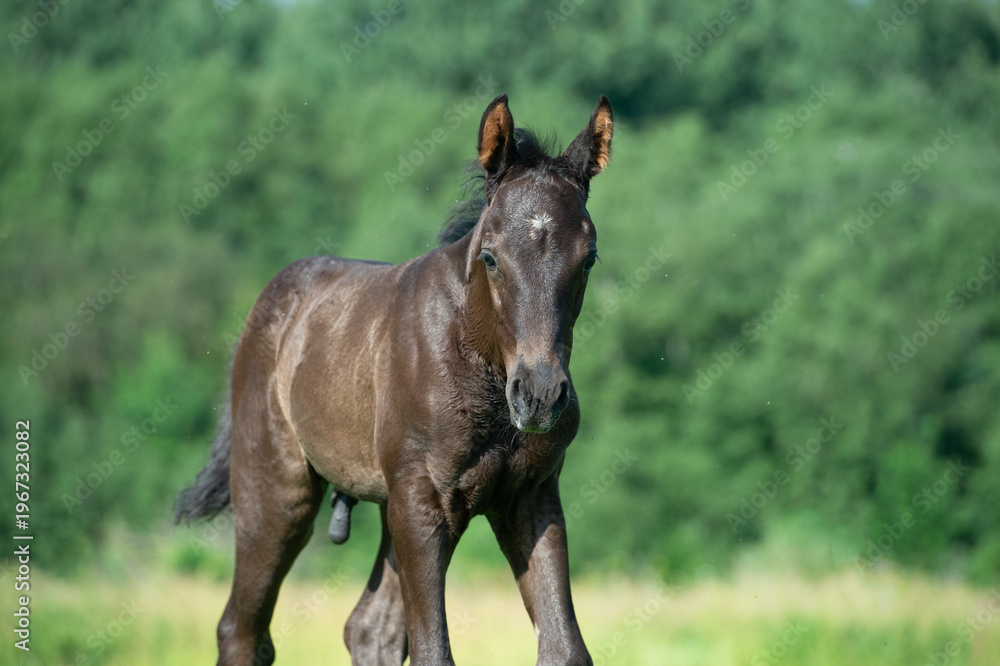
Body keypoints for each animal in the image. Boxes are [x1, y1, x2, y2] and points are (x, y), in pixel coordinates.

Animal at [175, 93, 613, 666]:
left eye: (588, 259)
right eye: (491, 258)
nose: (539, 395)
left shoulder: (530, 497)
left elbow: (564, 650)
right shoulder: (422, 503)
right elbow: (434, 652)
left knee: (368, 629)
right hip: (276, 494)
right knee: (242, 631)